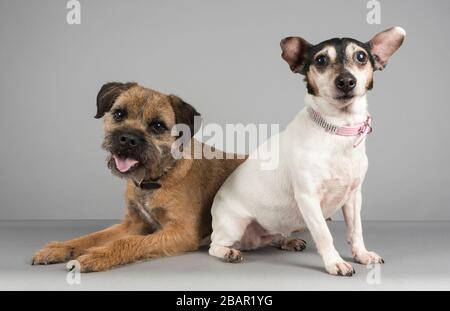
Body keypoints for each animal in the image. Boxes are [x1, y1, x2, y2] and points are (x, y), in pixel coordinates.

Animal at [32, 83, 244, 272]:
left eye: (157, 126)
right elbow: (93, 237)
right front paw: (60, 248)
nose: (128, 139)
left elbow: (129, 242)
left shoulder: (181, 232)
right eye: (119, 114)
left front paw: (98, 255)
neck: (154, 179)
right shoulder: (133, 223)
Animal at [209, 26, 406, 276]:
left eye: (361, 56)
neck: (337, 129)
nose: (346, 81)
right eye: (320, 60)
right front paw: (335, 263)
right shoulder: (308, 198)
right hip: (234, 226)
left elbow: (356, 230)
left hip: (272, 226)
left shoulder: (353, 197)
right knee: (214, 246)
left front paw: (361, 255)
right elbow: (324, 234)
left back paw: (287, 241)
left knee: (271, 238)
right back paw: (229, 253)